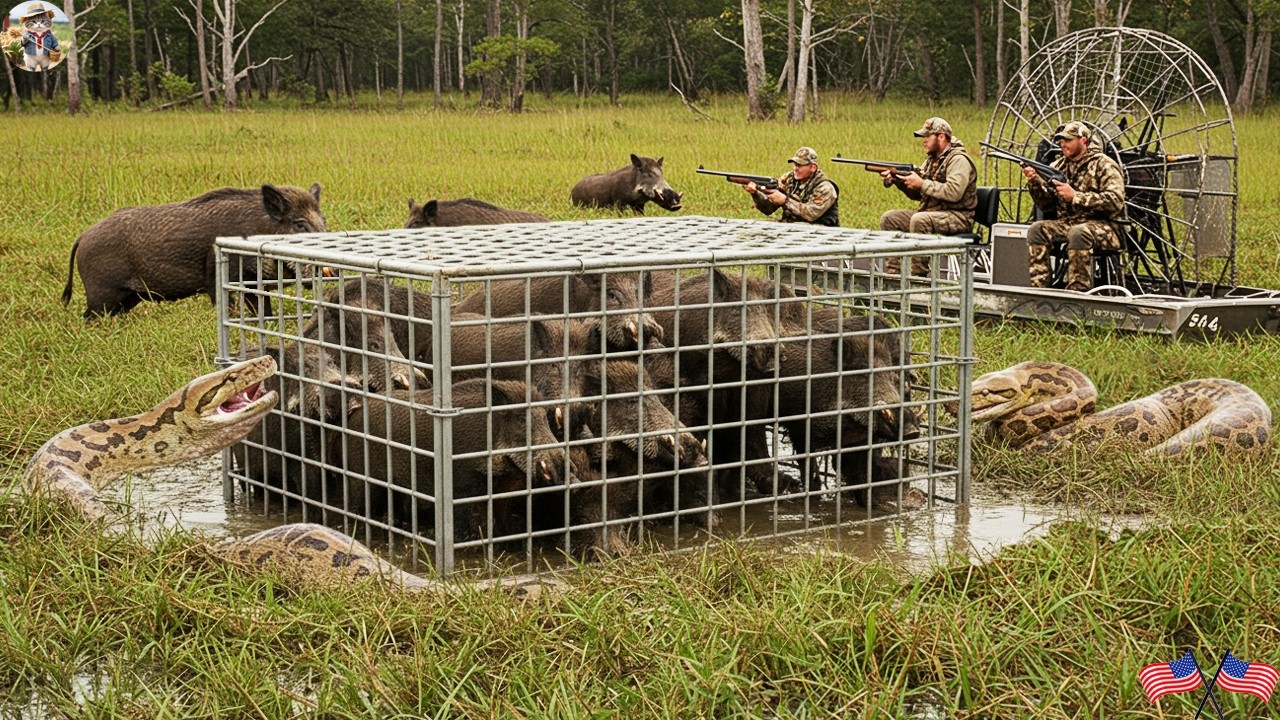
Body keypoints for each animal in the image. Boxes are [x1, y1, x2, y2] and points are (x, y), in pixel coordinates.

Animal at [62, 183, 325, 319]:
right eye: (299, 224)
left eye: (322, 220)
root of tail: (83, 236)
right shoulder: (216, 278)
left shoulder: (252, 284)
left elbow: (264, 312)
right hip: (101, 294)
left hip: (126, 298)